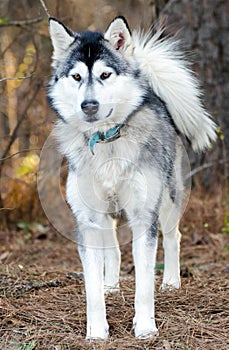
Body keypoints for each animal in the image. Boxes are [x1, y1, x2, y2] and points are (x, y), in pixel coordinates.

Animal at [48, 17, 216, 340]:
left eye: (105, 74)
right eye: (76, 76)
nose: (89, 105)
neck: (106, 142)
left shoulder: (143, 215)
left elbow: (144, 282)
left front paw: (146, 326)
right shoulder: (87, 220)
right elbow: (91, 287)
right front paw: (96, 331)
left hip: (168, 200)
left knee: (173, 237)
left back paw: (171, 282)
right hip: (105, 217)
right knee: (112, 251)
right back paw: (111, 285)